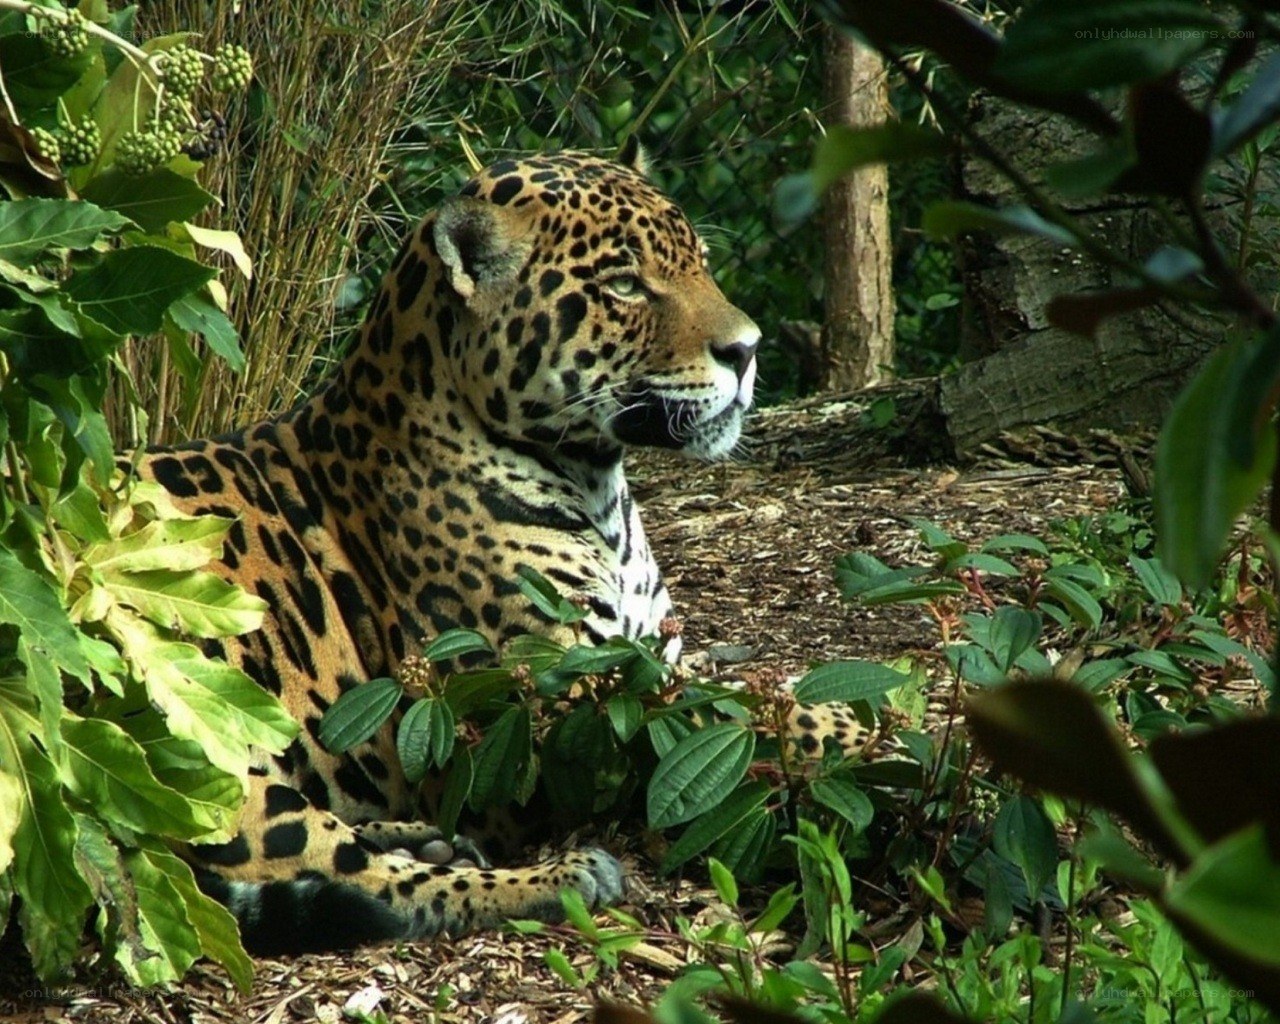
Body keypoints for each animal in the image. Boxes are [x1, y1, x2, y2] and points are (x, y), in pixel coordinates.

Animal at [135, 146, 861, 954]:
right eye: (623, 284)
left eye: (699, 264)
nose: (749, 350)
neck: (599, 488)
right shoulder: (557, 710)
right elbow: (726, 714)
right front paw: (861, 726)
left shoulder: (649, 654)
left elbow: (744, 688)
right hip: (201, 743)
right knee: (375, 887)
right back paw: (557, 876)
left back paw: (429, 837)